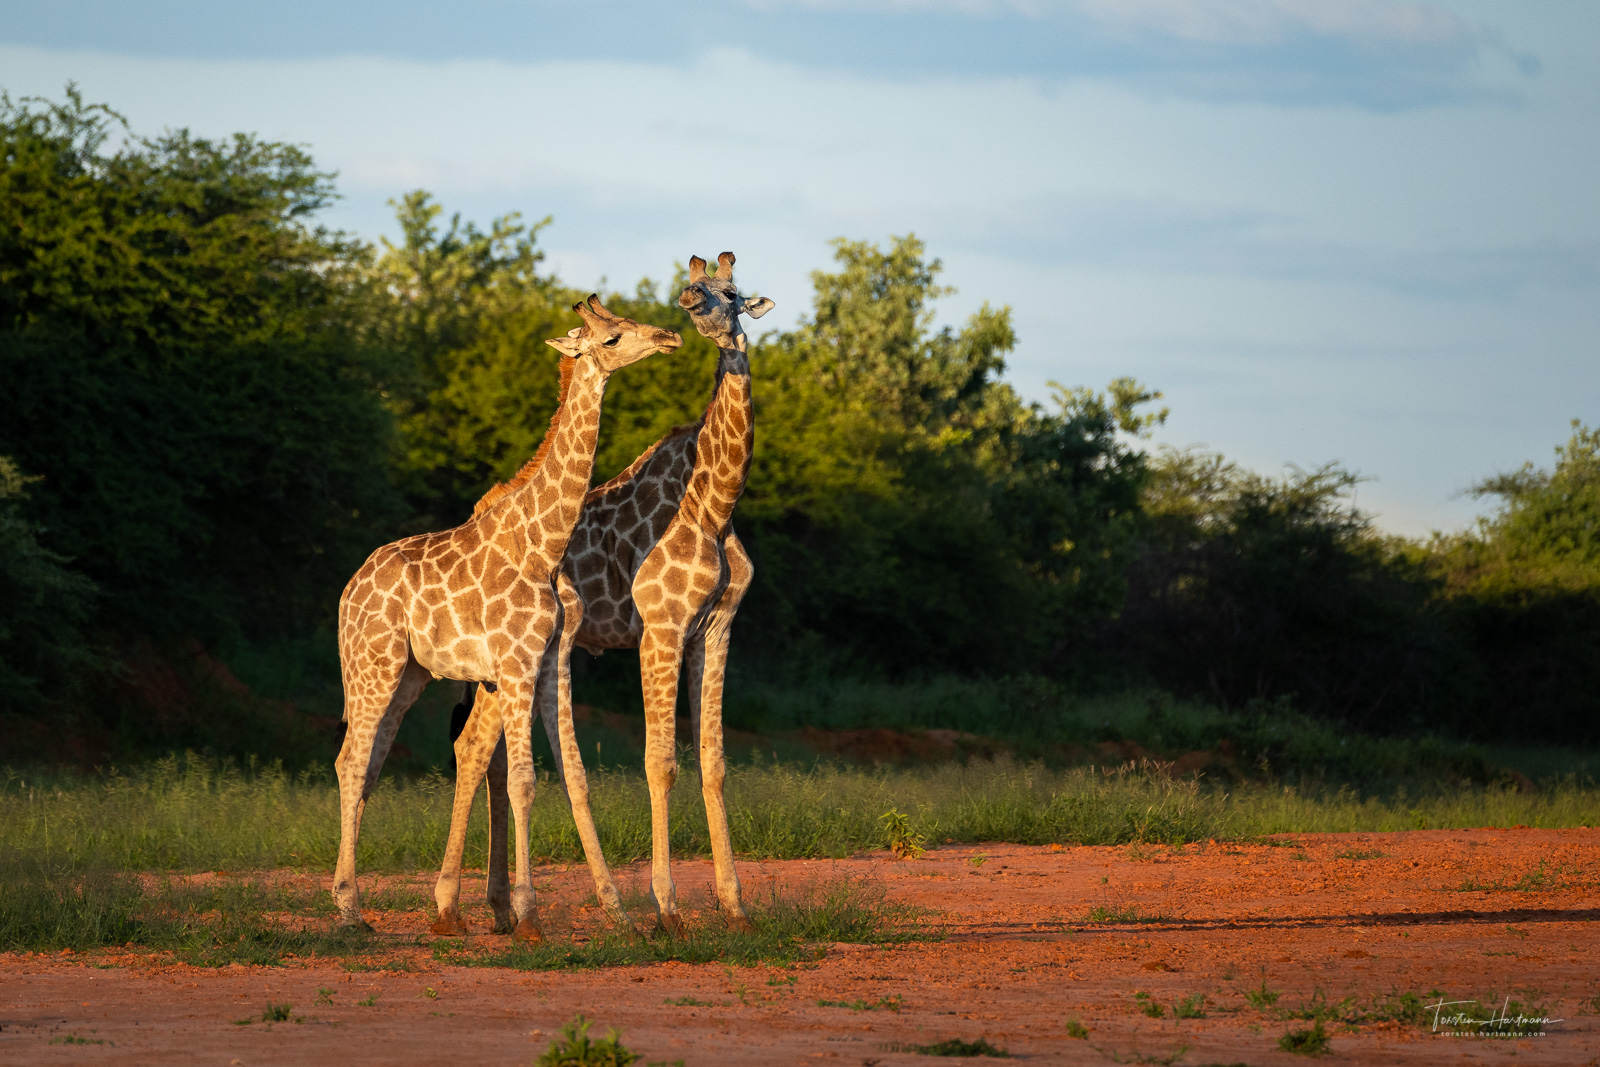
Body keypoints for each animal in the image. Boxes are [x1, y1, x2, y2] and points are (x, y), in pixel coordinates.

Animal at [331, 295, 681, 940]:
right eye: (613, 337)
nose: (668, 336)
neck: (542, 546)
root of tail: (348, 592)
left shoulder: (549, 662)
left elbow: (574, 774)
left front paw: (616, 911)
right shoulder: (515, 663)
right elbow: (521, 780)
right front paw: (529, 915)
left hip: (409, 674)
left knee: (366, 765)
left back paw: (356, 902)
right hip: (374, 664)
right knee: (351, 761)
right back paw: (348, 909)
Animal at [432, 254, 768, 940]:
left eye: (733, 293)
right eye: (697, 288)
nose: (690, 310)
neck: (716, 506)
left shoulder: (716, 629)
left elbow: (714, 760)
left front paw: (736, 905)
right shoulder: (662, 628)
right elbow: (660, 760)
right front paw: (667, 908)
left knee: (484, 750)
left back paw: (497, 907)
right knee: (475, 747)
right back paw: (463, 905)